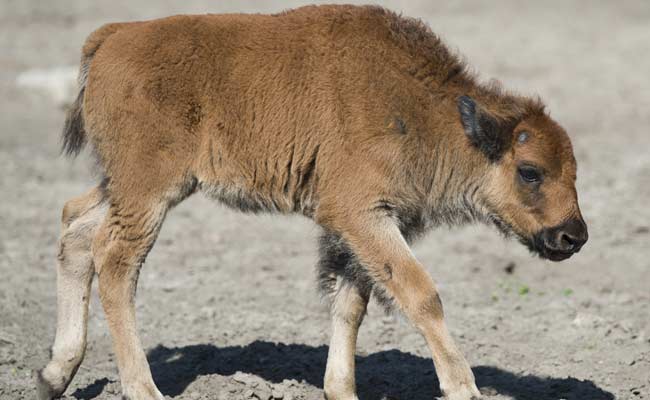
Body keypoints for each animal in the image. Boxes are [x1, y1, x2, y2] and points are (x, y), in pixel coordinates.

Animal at [38, 3, 584, 400]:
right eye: (530, 171)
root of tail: (114, 36)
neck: (421, 109)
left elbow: (351, 304)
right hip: (149, 191)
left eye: (575, 171)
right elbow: (420, 294)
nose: (572, 236)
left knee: (75, 227)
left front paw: (341, 390)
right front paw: (463, 388)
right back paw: (143, 389)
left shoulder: (357, 230)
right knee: (116, 263)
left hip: (125, 186)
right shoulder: (362, 216)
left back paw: (53, 376)